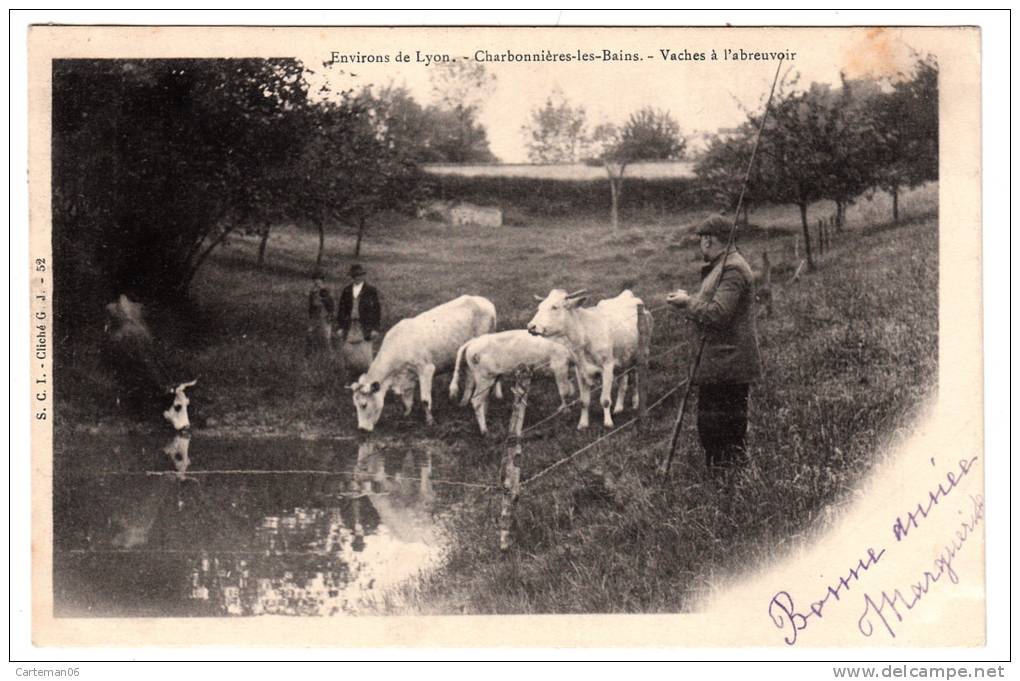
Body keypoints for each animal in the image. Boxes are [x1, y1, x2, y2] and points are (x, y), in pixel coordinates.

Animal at [348, 293, 495, 430]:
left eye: (364, 405)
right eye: (355, 405)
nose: (362, 429)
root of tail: (485, 301)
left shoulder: (426, 369)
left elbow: (425, 400)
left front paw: (430, 421)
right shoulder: (408, 376)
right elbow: (406, 399)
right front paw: (406, 415)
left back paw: (466, 402)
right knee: (469, 376)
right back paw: (463, 402)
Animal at [446, 330, 575, 436]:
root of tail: (472, 342)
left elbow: (571, 389)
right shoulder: (560, 366)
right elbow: (564, 391)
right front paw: (566, 411)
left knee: (483, 399)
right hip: (484, 377)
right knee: (476, 401)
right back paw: (485, 431)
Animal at [530, 289, 648, 428]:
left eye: (555, 307)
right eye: (539, 307)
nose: (531, 326)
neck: (584, 335)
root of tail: (627, 294)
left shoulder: (608, 366)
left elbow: (605, 400)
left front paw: (608, 422)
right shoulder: (580, 370)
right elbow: (584, 401)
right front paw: (583, 423)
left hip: (639, 356)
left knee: (635, 380)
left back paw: (635, 403)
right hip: (623, 359)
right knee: (623, 383)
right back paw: (619, 407)